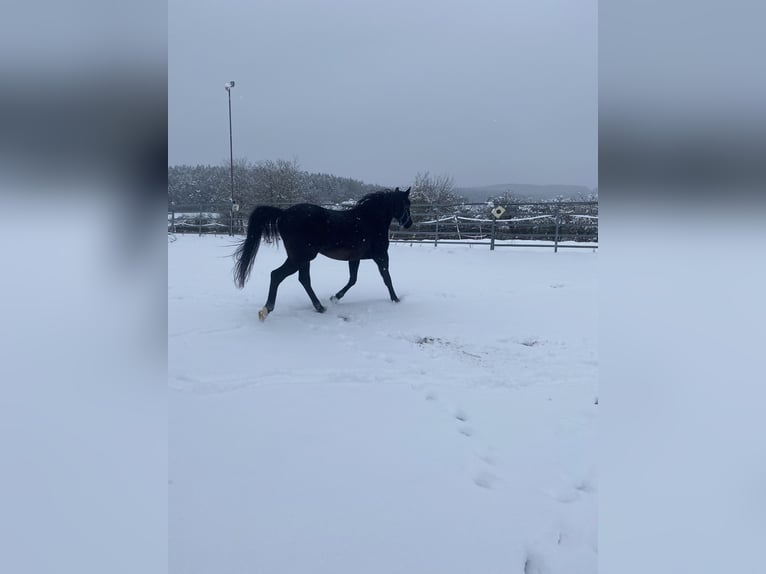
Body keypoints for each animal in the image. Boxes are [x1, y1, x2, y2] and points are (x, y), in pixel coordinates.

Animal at [234, 188, 414, 320]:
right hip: (300, 258)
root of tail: (283, 214)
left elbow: (353, 279)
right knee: (277, 275)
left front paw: (335, 297)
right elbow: (387, 278)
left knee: (303, 280)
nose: (409, 224)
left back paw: (320, 307)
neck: (370, 220)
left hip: (302, 259)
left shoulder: (354, 258)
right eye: (407, 205)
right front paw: (396, 300)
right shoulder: (381, 256)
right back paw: (266, 310)